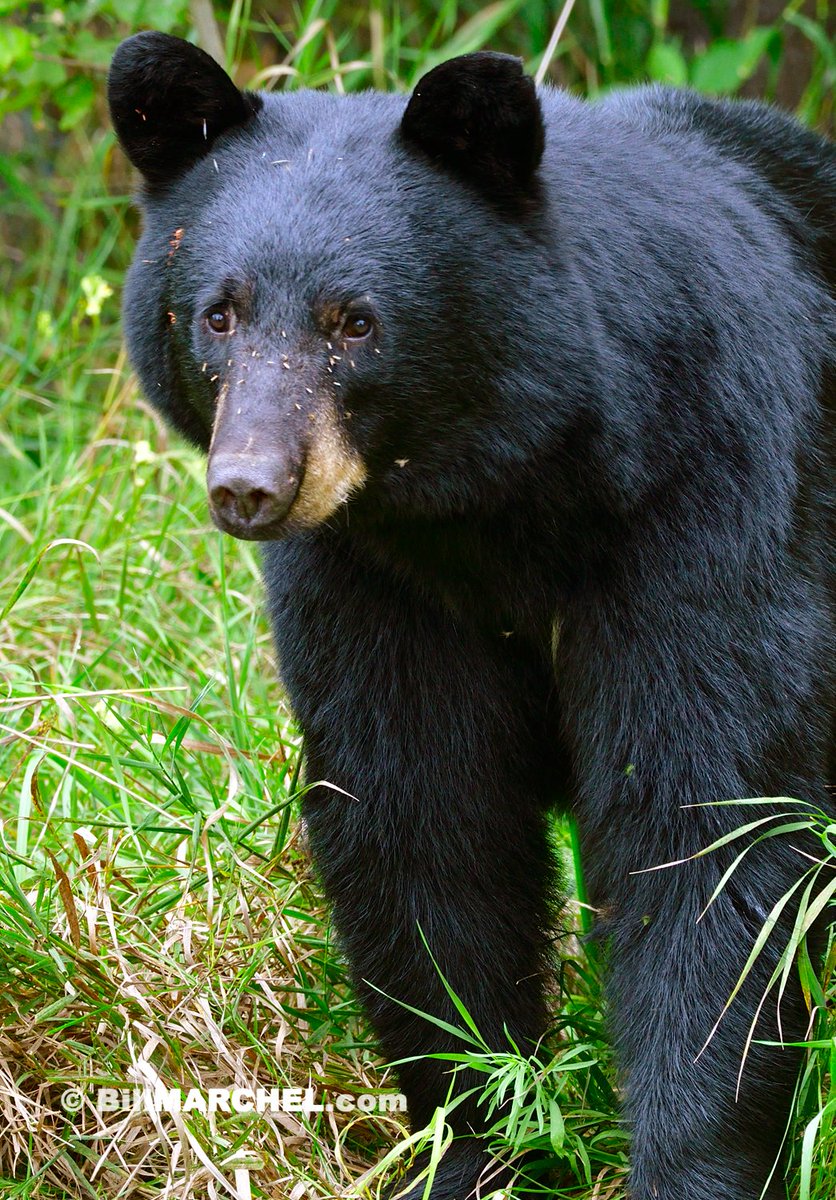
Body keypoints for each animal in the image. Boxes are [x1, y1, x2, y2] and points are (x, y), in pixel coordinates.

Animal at [107, 31, 835, 1200]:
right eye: (217, 312)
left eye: (354, 322)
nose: (249, 487)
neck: (504, 499)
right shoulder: (378, 580)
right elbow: (421, 823)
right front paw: (479, 1139)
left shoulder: (710, 501)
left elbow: (705, 821)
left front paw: (694, 1163)